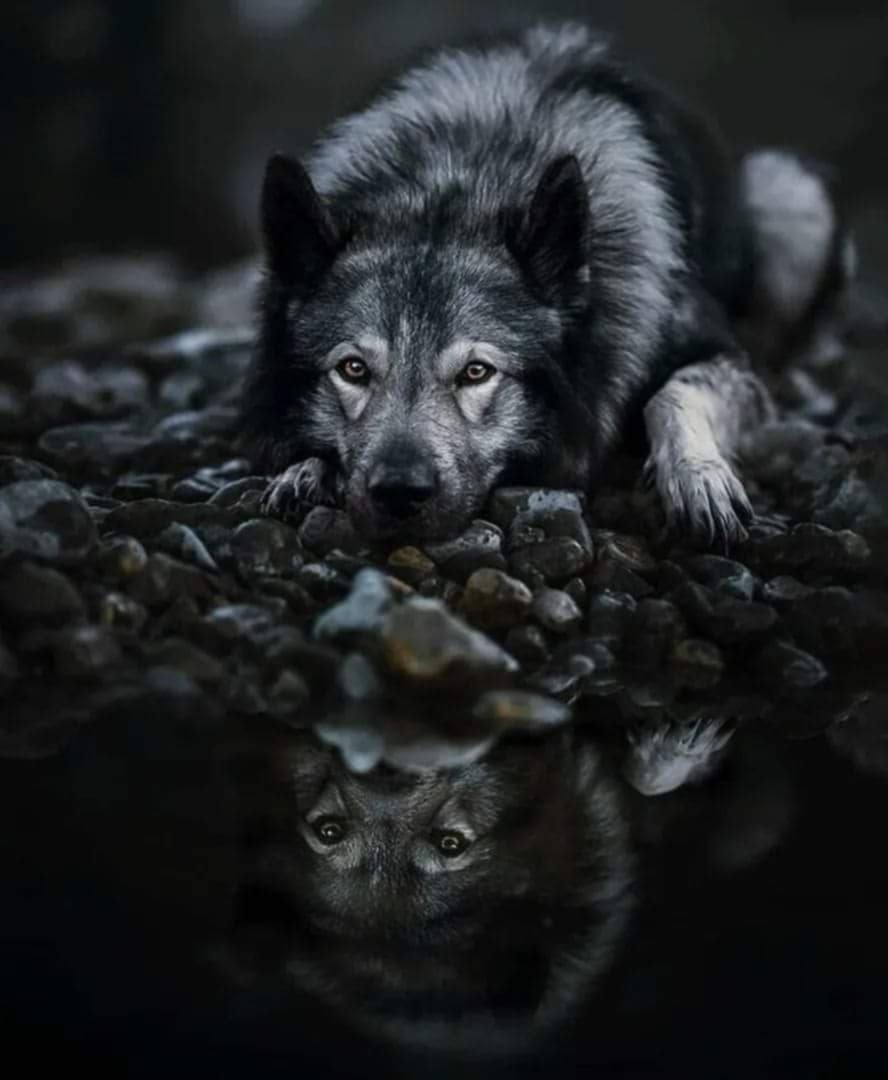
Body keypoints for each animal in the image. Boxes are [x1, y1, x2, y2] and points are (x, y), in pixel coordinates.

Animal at [240, 22, 851, 545]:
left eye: (477, 372)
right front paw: (306, 470)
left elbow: (672, 394)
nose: (399, 493)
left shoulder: (719, 354)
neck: (461, 181)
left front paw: (698, 476)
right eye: (353, 370)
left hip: (793, 198)